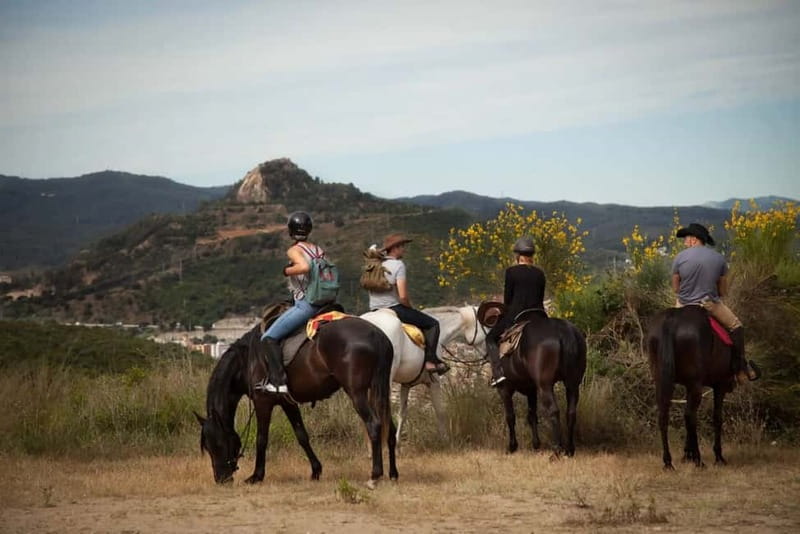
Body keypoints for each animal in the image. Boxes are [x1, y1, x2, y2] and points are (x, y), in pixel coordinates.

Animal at [195, 316, 398, 486]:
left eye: (217, 444)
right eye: (207, 447)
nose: (221, 479)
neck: (247, 361)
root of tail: (378, 335)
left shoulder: (263, 403)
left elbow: (261, 439)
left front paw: (256, 476)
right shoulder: (288, 403)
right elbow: (302, 435)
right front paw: (316, 471)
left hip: (358, 393)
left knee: (374, 424)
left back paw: (375, 475)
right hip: (380, 390)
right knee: (390, 428)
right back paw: (393, 473)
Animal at [360, 305, 488, 444]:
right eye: (486, 328)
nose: (489, 355)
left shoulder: (406, 385)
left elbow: (402, 414)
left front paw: (398, 441)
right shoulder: (434, 381)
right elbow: (440, 410)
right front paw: (445, 440)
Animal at [493, 311, 587, 456]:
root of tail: (564, 331)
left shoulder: (505, 390)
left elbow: (510, 416)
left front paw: (512, 446)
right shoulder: (531, 390)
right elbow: (532, 415)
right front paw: (536, 444)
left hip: (545, 386)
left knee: (554, 411)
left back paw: (556, 450)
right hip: (572, 385)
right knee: (571, 412)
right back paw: (569, 449)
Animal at [648, 305, 739, 469]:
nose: (732, 385)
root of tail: (672, 318)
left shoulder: (688, 386)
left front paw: (686, 455)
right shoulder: (719, 386)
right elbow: (717, 418)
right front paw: (718, 456)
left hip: (662, 381)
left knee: (665, 416)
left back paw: (668, 462)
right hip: (697, 385)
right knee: (691, 416)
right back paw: (698, 460)